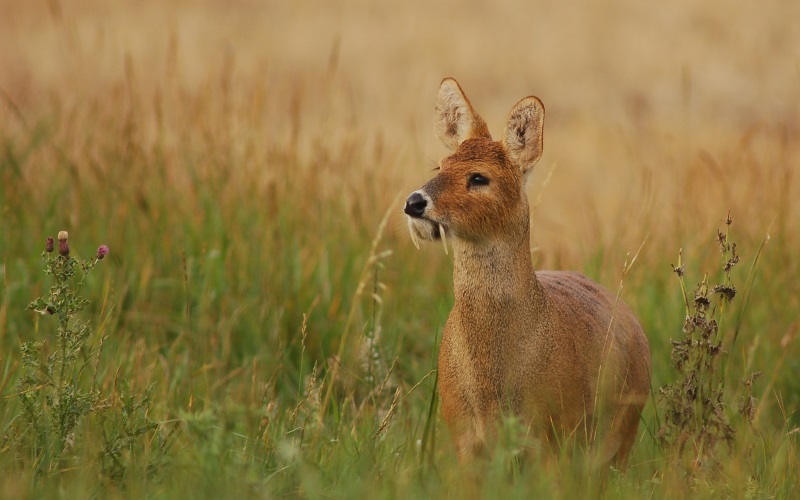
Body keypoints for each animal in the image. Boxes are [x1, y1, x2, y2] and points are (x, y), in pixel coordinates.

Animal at [406, 77, 648, 464]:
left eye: (479, 177)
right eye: (439, 167)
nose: (414, 203)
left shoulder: (550, 433)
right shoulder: (461, 434)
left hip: (622, 432)